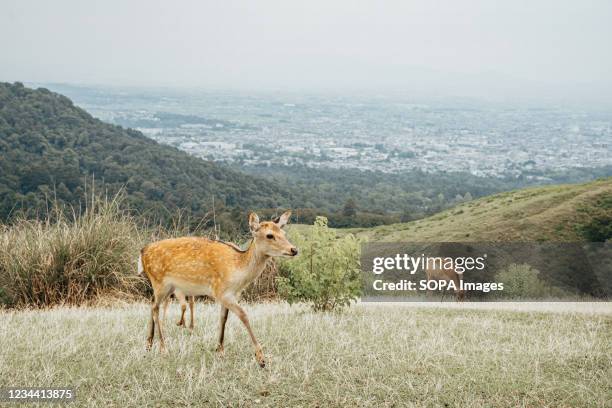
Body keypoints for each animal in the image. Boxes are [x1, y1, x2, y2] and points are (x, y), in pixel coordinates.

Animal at [137, 210, 298, 366]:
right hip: (159, 282)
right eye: (269, 235)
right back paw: (163, 348)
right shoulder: (220, 291)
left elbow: (223, 318)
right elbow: (244, 315)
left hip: (167, 287)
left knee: (152, 304)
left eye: (283, 233)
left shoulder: (231, 294)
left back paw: (148, 345)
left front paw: (219, 350)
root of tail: (143, 251)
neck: (238, 273)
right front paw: (261, 359)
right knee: (155, 308)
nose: (294, 250)